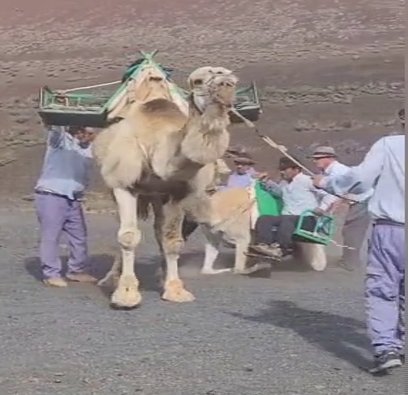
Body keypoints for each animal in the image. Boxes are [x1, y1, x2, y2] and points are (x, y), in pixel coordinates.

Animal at [92, 57, 239, 310]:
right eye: (198, 80)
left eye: (232, 78)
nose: (225, 85)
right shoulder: (123, 185)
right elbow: (128, 236)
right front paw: (126, 294)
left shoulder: (178, 192)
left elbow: (172, 240)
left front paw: (175, 289)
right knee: (123, 229)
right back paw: (111, 279)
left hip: (157, 196)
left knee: (159, 229)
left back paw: (161, 273)